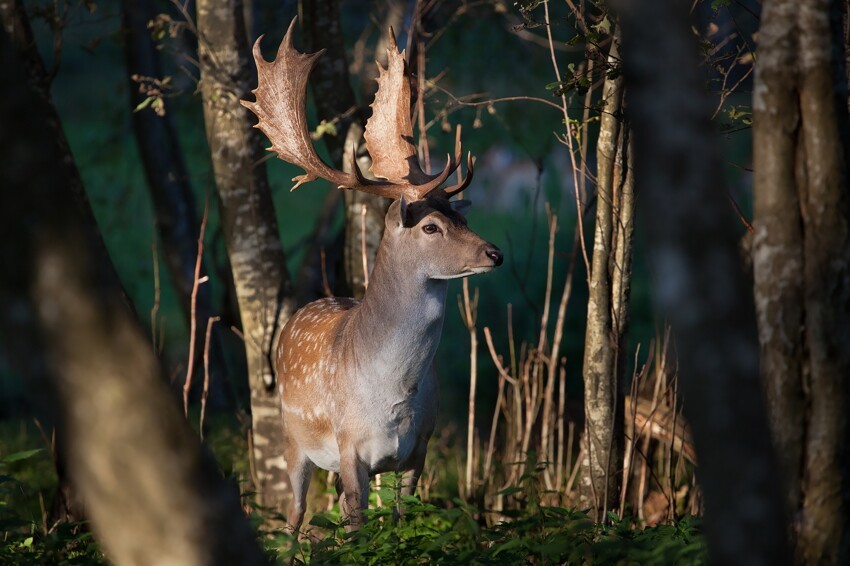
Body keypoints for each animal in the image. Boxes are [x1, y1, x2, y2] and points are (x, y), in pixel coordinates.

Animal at [242, 18, 500, 532]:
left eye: (459, 216)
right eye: (431, 226)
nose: (494, 253)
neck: (393, 398)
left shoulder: (420, 448)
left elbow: (398, 521)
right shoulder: (349, 446)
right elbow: (359, 524)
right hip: (294, 439)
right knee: (295, 514)